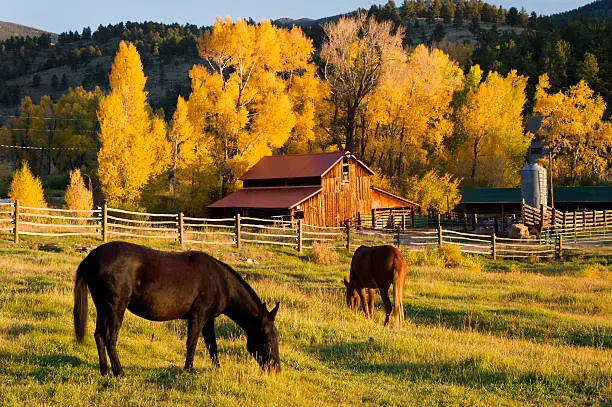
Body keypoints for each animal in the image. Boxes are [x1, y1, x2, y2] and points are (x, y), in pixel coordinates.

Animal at [73, 241, 280, 378]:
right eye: (268, 339)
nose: (276, 368)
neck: (220, 282)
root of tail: (92, 257)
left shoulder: (208, 319)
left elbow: (212, 345)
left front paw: (217, 368)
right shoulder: (198, 316)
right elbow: (192, 343)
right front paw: (188, 370)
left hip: (103, 307)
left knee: (99, 335)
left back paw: (105, 371)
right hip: (116, 308)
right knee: (110, 338)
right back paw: (120, 372)